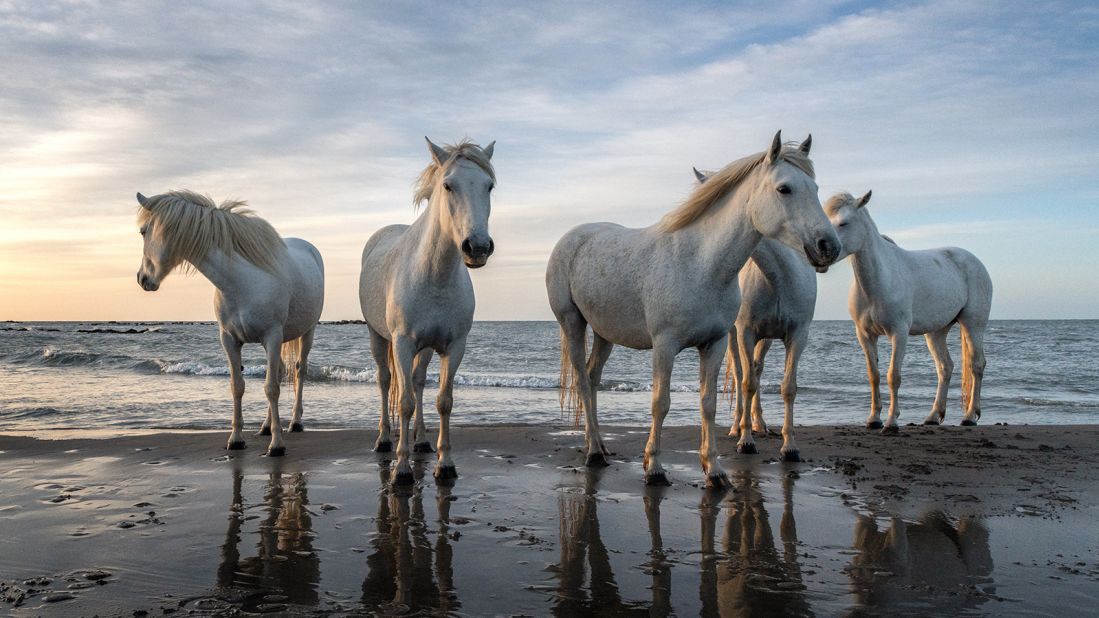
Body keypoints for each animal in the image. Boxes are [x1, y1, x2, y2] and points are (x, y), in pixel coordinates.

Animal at [135, 190, 323, 455]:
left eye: (143, 231)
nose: (142, 278)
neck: (240, 281)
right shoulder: (229, 339)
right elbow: (238, 386)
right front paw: (236, 439)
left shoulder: (272, 336)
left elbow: (271, 388)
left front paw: (277, 446)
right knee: (278, 372)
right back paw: (265, 426)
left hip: (307, 332)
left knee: (299, 371)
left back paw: (295, 422)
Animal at [358, 136, 496, 483]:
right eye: (448, 185)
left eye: (488, 186)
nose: (477, 247)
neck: (434, 274)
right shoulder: (403, 344)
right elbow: (404, 402)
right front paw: (401, 468)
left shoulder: (453, 346)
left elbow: (443, 400)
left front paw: (445, 464)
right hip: (378, 337)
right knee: (385, 381)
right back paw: (383, 440)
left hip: (427, 348)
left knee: (419, 381)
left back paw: (420, 440)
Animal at [694, 166, 817, 459]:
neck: (779, 279)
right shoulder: (746, 332)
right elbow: (746, 381)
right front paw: (745, 440)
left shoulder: (798, 334)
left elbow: (788, 386)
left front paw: (789, 447)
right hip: (734, 335)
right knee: (742, 374)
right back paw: (737, 426)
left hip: (767, 338)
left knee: (758, 370)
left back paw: (760, 423)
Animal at [826, 190, 997, 431]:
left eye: (844, 223)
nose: (823, 249)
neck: (880, 280)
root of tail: (975, 262)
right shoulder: (865, 335)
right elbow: (874, 375)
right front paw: (874, 419)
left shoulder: (899, 333)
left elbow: (893, 376)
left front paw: (891, 422)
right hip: (936, 332)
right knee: (945, 367)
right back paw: (934, 416)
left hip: (973, 324)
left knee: (977, 365)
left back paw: (970, 416)